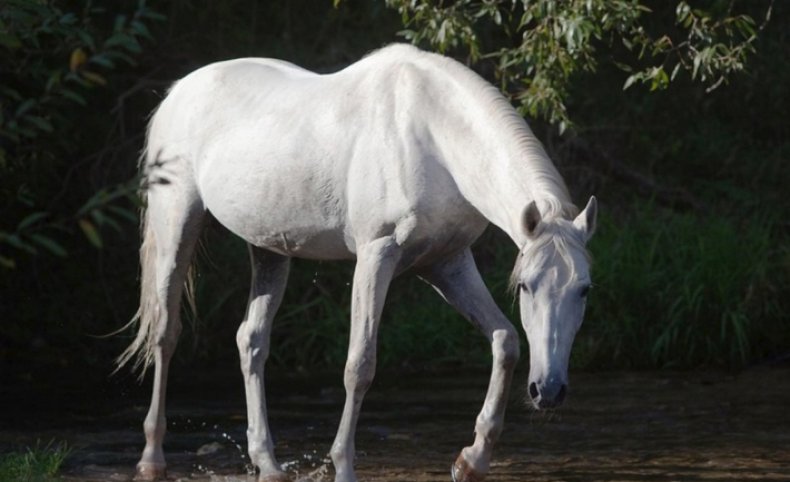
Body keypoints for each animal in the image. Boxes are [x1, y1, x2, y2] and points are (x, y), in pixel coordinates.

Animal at [120, 43, 596, 480]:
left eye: (584, 290)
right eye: (525, 286)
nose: (548, 391)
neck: (432, 137)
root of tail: (178, 91)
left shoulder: (447, 262)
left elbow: (505, 341)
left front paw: (471, 460)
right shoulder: (376, 255)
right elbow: (360, 365)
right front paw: (344, 466)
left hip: (270, 250)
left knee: (251, 341)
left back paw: (268, 463)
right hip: (177, 223)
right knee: (166, 333)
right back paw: (151, 459)